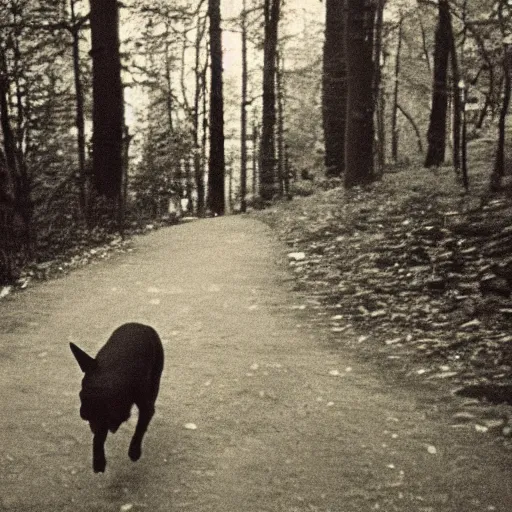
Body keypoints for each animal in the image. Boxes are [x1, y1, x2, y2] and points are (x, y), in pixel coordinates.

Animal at [70, 324, 164, 472]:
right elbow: (98, 436)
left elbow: (140, 426)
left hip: (156, 376)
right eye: (81, 395)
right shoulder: (100, 419)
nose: (83, 414)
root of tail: (141, 324)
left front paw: (134, 450)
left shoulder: (146, 407)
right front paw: (99, 460)